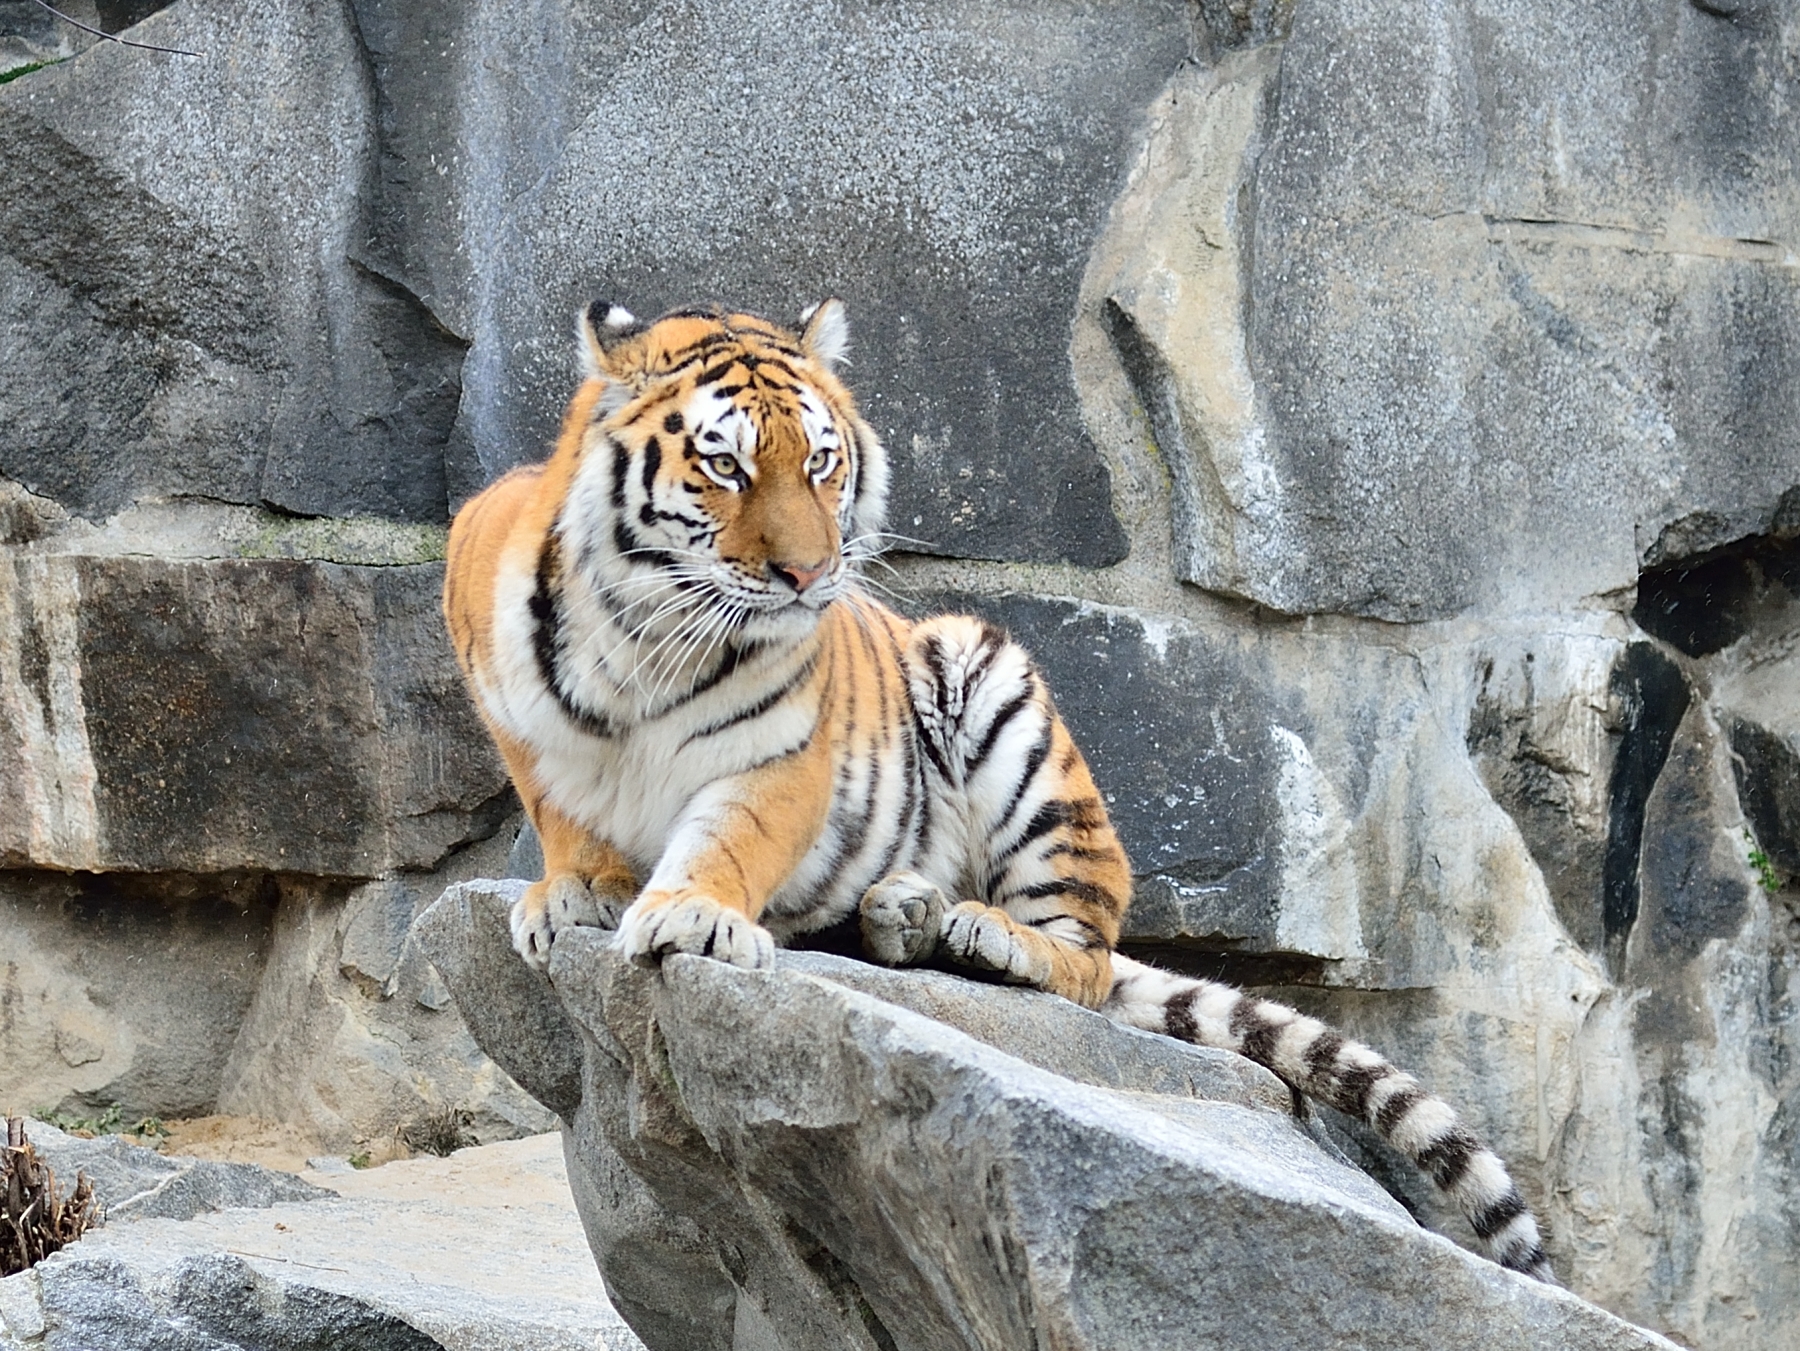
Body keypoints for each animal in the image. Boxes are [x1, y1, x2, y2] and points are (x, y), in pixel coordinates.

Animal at [442, 299, 1557, 1283]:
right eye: (725, 465)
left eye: (820, 463)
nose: (812, 575)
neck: (645, 637)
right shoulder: (502, 676)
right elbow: (555, 802)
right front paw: (576, 887)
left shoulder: (784, 746)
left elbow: (734, 833)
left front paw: (692, 914)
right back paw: (903, 912)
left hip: (992, 685)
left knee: (1084, 959)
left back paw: (974, 930)